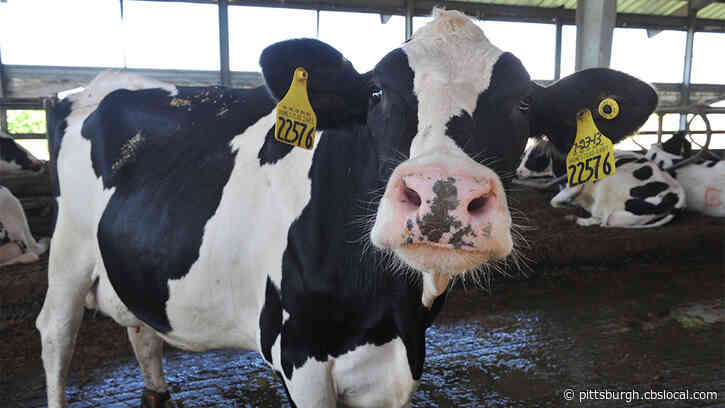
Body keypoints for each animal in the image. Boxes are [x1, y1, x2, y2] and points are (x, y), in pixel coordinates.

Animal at [37, 10, 658, 408]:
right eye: (378, 92)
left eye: (525, 103)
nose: (443, 192)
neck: (387, 305)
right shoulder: (301, 355)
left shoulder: (401, 362)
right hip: (68, 252)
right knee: (56, 334)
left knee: (143, 331)